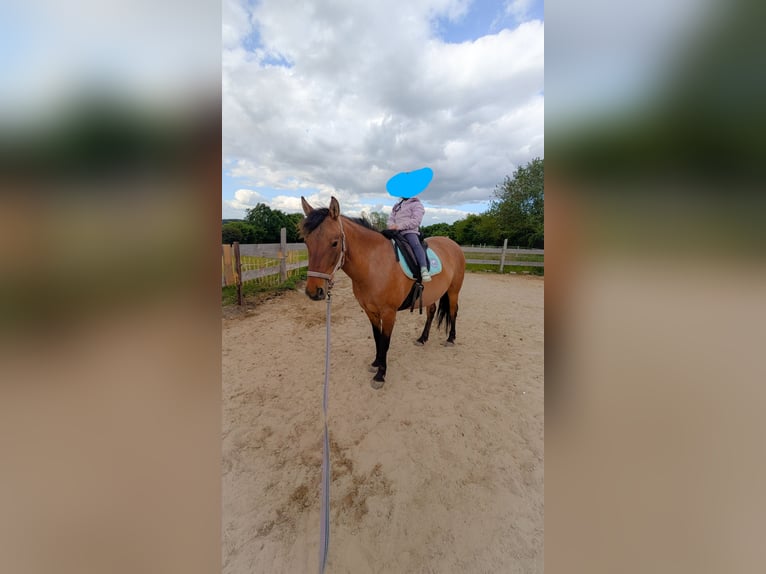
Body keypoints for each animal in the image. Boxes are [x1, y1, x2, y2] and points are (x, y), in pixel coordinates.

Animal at [299, 196, 465, 389]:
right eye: (307, 242)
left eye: (334, 242)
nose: (314, 291)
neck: (374, 265)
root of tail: (452, 244)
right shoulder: (370, 311)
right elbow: (377, 337)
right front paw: (376, 363)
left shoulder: (388, 313)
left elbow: (385, 341)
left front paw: (380, 375)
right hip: (432, 294)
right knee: (431, 312)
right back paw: (422, 338)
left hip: (453, 291)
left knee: (453, 311)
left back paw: (451, 339)